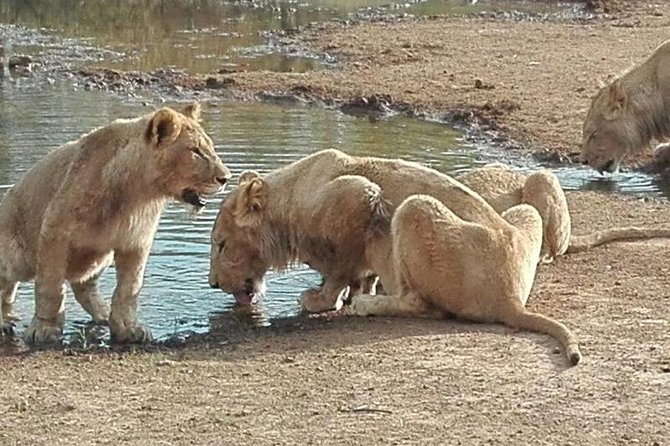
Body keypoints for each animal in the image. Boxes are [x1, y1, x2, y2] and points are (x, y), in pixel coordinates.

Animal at [0, 102, 230, 344]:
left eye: (210, 148)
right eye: (195, 151)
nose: (226, 178)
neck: (137, 193)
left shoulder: (136, 241)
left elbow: (129, 288)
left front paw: (128, 329)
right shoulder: (55, 230)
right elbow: (50, 286)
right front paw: (45, 330)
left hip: (98, 258)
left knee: (82, 286)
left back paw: (103, 315)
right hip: (16, 254)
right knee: (6, 285)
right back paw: (5, 323)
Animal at [208, 149, 582, 364]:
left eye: (221, 244)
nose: (211, 283)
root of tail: (511, 295)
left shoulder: (359, 196)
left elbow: (339, 269)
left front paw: (324, 299)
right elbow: (364, 272)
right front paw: (358, 290)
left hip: (414, 208)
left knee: (425, 306)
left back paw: (366, 306)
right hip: (524, 213)